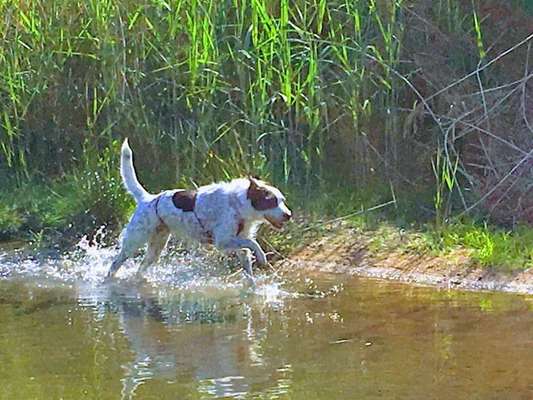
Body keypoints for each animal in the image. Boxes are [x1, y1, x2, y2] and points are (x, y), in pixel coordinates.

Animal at [105, 139, 290, 280]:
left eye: (282, 200)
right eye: (271, 201)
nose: (289, 215)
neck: (237, 204)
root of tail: (148, 199)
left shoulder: (237, 241)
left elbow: (247, 258)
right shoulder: (222, 241)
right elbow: (252, 244)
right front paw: (262, 257)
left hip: (156, 247)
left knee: (141, 267)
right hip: (133, 242)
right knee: (115, 263)